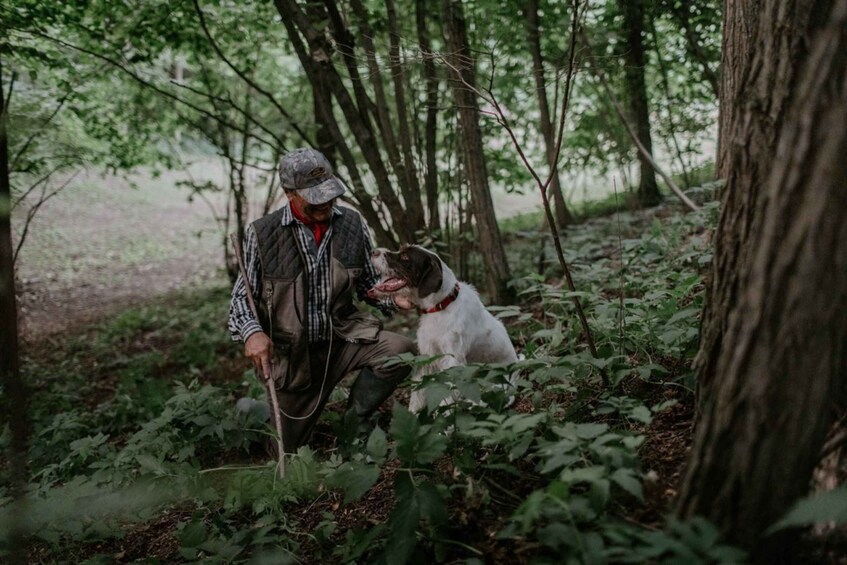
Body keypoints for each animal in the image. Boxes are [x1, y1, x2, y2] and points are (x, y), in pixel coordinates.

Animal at [370, 245, 520, 412]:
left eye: (405, 257)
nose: (373, 251)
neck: (441, 305)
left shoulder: (452, 360)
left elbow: (446, 396)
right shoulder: (427, 355)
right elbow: (417, 395)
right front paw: (413, 416)